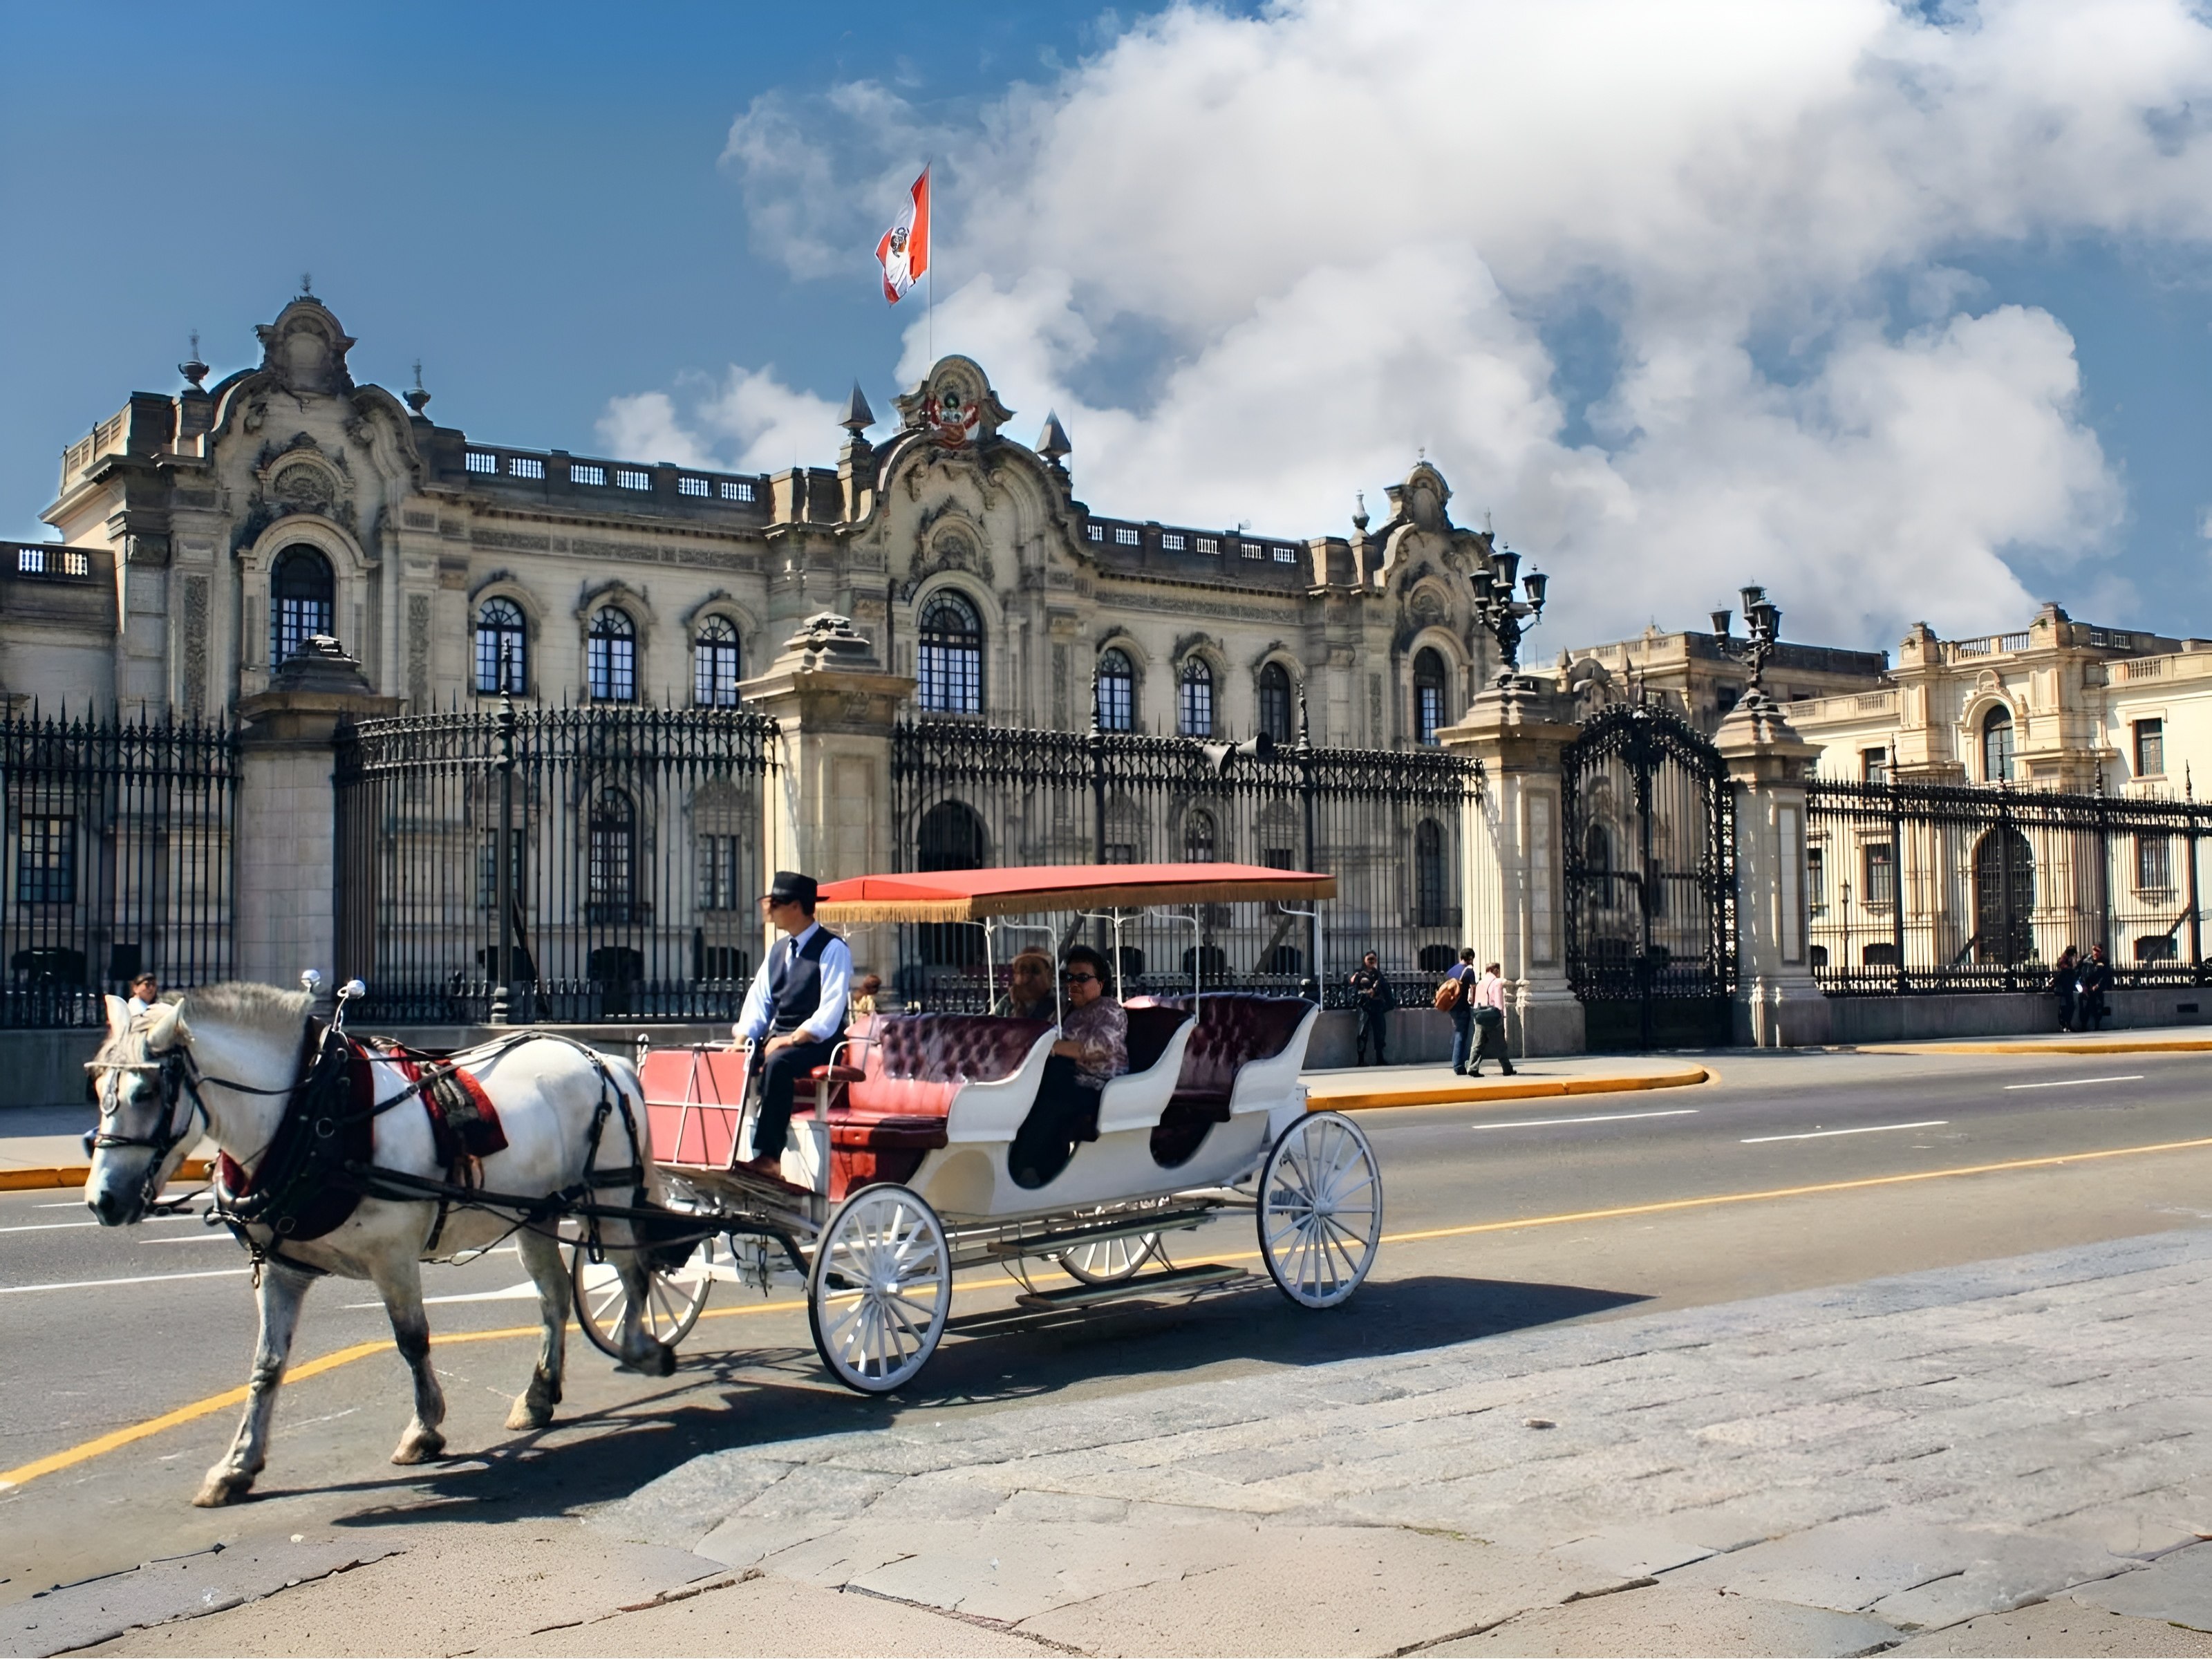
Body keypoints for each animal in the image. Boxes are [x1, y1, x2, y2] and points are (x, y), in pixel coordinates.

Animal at [84, 982, 672, 1512]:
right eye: (98, 1089)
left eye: (146, 1094)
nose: (101, 1201)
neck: (312, 1113)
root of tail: (601, 1058)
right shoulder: (282, 1266)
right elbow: (267, 1363)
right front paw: (236, 1466)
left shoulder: (393, 1256)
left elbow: (412, 1341)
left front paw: (424, 1430)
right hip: (536, 1211)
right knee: (554, 1296)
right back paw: (539, 1395)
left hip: (610, 1196)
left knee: (634, 1273)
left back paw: (642, 1348)